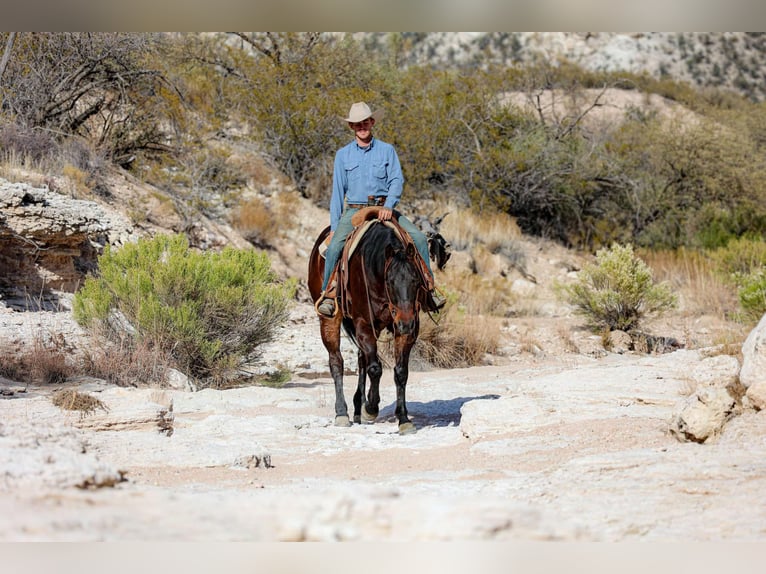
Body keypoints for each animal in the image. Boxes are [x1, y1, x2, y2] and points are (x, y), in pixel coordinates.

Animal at [310, 212, 432, 436]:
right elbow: (375, 369)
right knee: (337, 362)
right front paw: (371, 408)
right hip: (330, 319)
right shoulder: (364, 324)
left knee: (361, 359)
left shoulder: (406, 328)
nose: (406, 323)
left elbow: (400, 372)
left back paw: (357, 409)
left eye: (416, 280)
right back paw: (342, 413)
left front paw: (403, 419)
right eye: (390, 281)